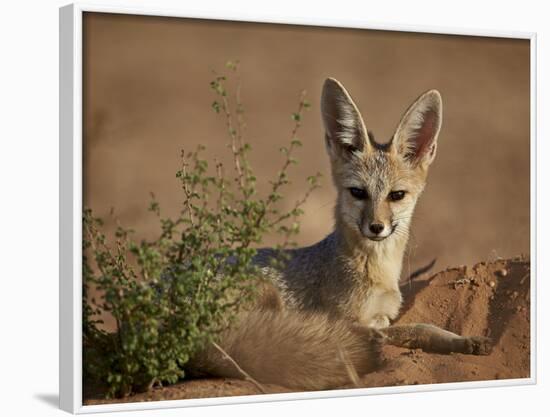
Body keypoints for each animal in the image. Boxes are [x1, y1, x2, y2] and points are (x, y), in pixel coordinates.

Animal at [189, 78, 492, 390]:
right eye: (358, 192)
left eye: (396, 195)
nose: (376, 227)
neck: (378, 270)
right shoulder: (348, 319)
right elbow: (411, 328)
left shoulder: (382, 313)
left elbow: (415, 325)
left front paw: (462, 340)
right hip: (267, 295)